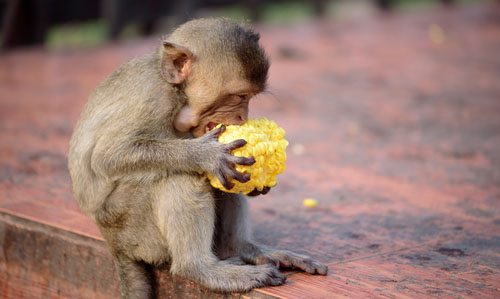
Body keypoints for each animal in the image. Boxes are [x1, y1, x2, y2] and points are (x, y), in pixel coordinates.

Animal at [69, 17, 328, 298]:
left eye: (250, 98)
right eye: (239, 96)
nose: (243, 117)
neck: (176, 93)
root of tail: (113, 243)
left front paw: (258, 185)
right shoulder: (153, 98)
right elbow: (108, 156)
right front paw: (205, 154)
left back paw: (240, 249)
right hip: (131, 228)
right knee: (181, 175)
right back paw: (200, 268)